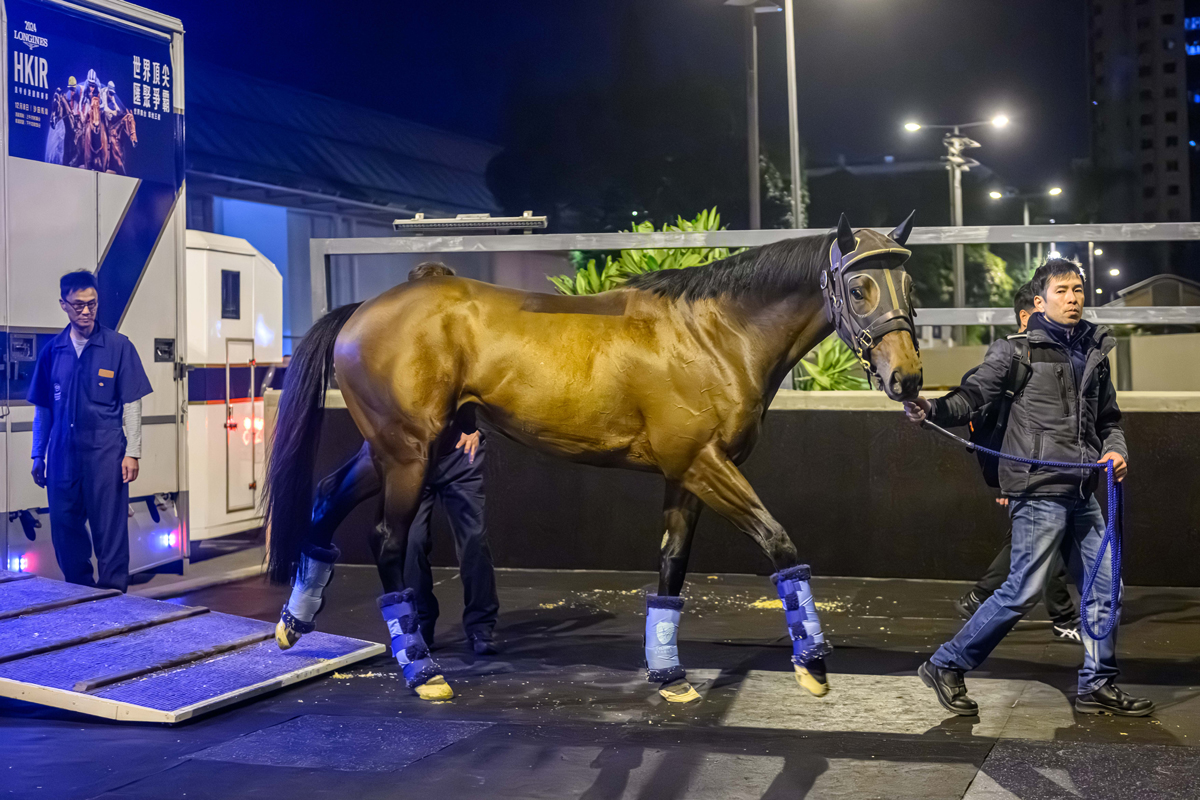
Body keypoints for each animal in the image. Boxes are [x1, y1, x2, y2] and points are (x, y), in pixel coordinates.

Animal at [265, 212, 916, 700]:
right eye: (858, 288)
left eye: (908, 287)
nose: (907, 379)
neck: (713, 336)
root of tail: (362, 310)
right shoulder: (706, 465)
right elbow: (778, 541)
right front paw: (813, 665)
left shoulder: (685, 473)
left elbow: (672, 565)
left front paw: (669, 674)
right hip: (408, 453)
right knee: (386, 540)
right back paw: (421, 671)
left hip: (399, 448)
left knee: (325, 496)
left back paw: (294, 623)